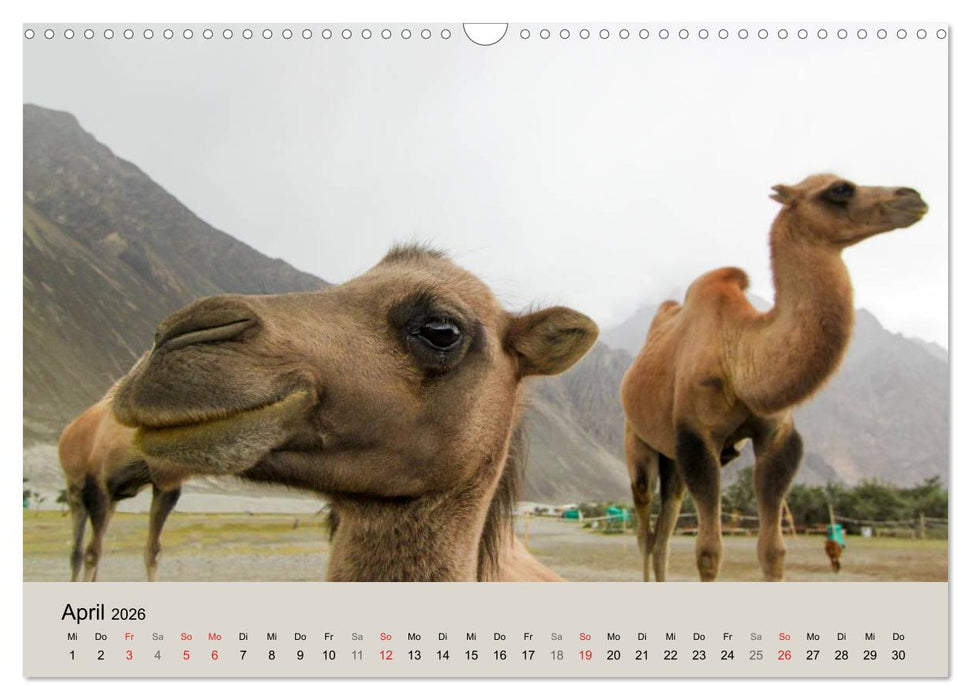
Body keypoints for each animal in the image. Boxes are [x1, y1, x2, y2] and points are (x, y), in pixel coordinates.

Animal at [621, 174, 927, 582]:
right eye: (840, 189)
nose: (913, 196)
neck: (739, 354)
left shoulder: (775, 435)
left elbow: (773, 551)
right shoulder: (698, 437)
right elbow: (708, 553)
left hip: (672, 456)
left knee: (663, 535)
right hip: (638, 441)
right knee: (644, 528)